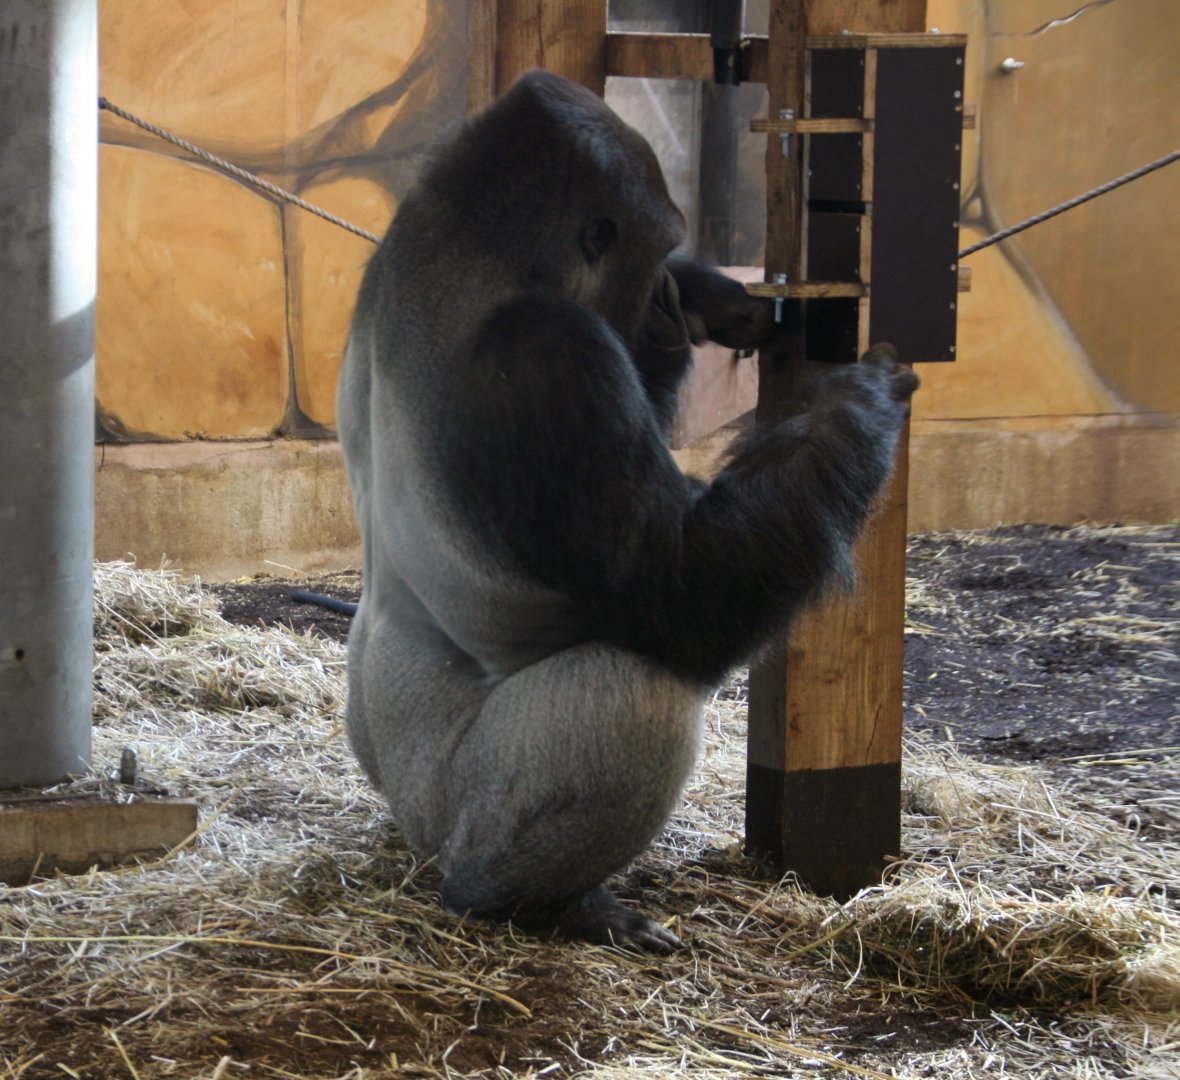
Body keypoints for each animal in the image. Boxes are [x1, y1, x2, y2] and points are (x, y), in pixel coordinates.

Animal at [336, 69, 918, 951]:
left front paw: (720, 295)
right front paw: (852, 408)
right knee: (637, 692)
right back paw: (532, 901)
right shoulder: (552, 352)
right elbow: (679, 591)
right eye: (651, 258)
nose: (674, 301)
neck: (475, 251)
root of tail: (413, 828)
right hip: (450, 813)